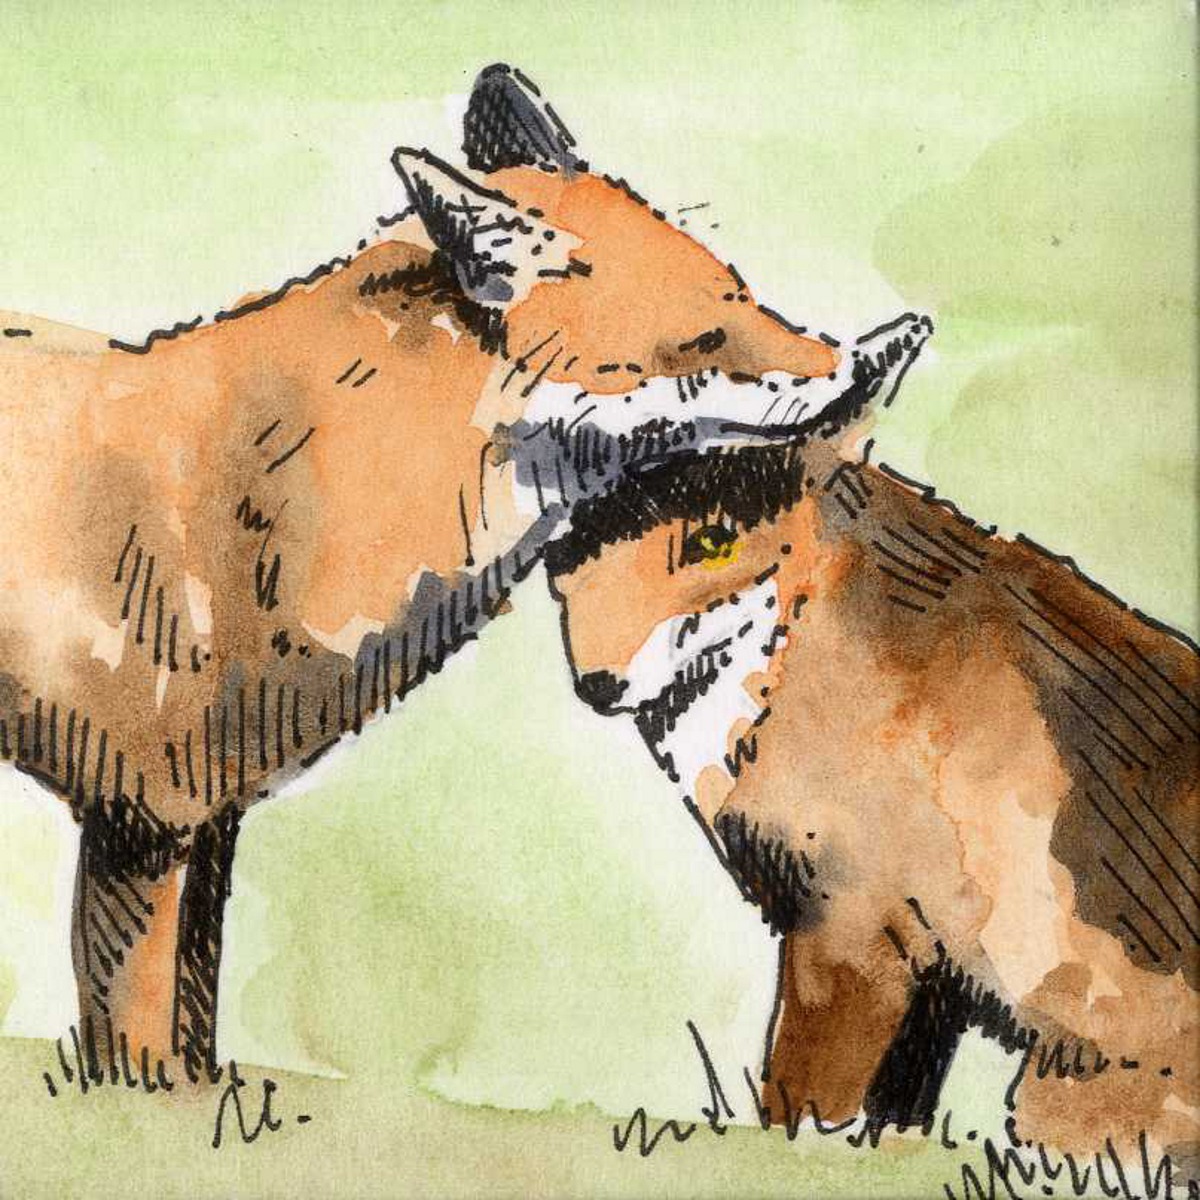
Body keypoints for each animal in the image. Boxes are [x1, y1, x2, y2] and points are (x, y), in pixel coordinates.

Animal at [0, 63, 926, 1083]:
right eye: (709, 340)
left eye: (747, 293)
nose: (894, 345)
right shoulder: (138, 815)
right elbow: (137, 1062)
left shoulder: (206, 820)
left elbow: (192, 1055)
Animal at [546, 371, 1199, 1174]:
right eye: (568, 569)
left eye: (711, 543)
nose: (598, 684)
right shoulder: (933, 972)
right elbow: (893, 1121)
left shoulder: (853, 931)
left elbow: (798, 1107)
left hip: (1048, 1106)